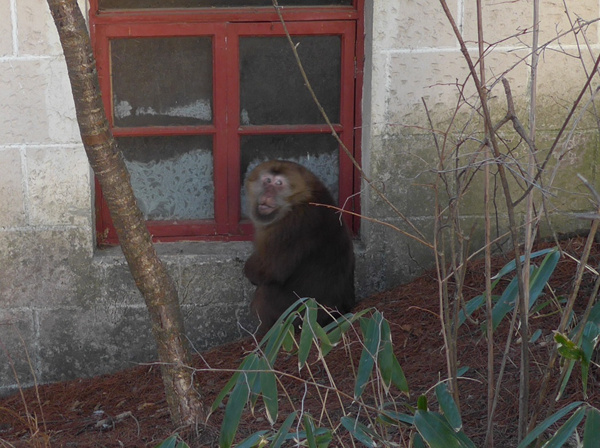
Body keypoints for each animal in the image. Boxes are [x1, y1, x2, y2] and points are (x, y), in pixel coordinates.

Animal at [245, 159, 356, 334]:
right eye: (267, 180)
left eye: (278, 183)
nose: (268, 195)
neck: (299, 199)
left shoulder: (288, 226)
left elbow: (270, 270)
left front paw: (249, 271)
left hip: (292, 315)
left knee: (265, 291)